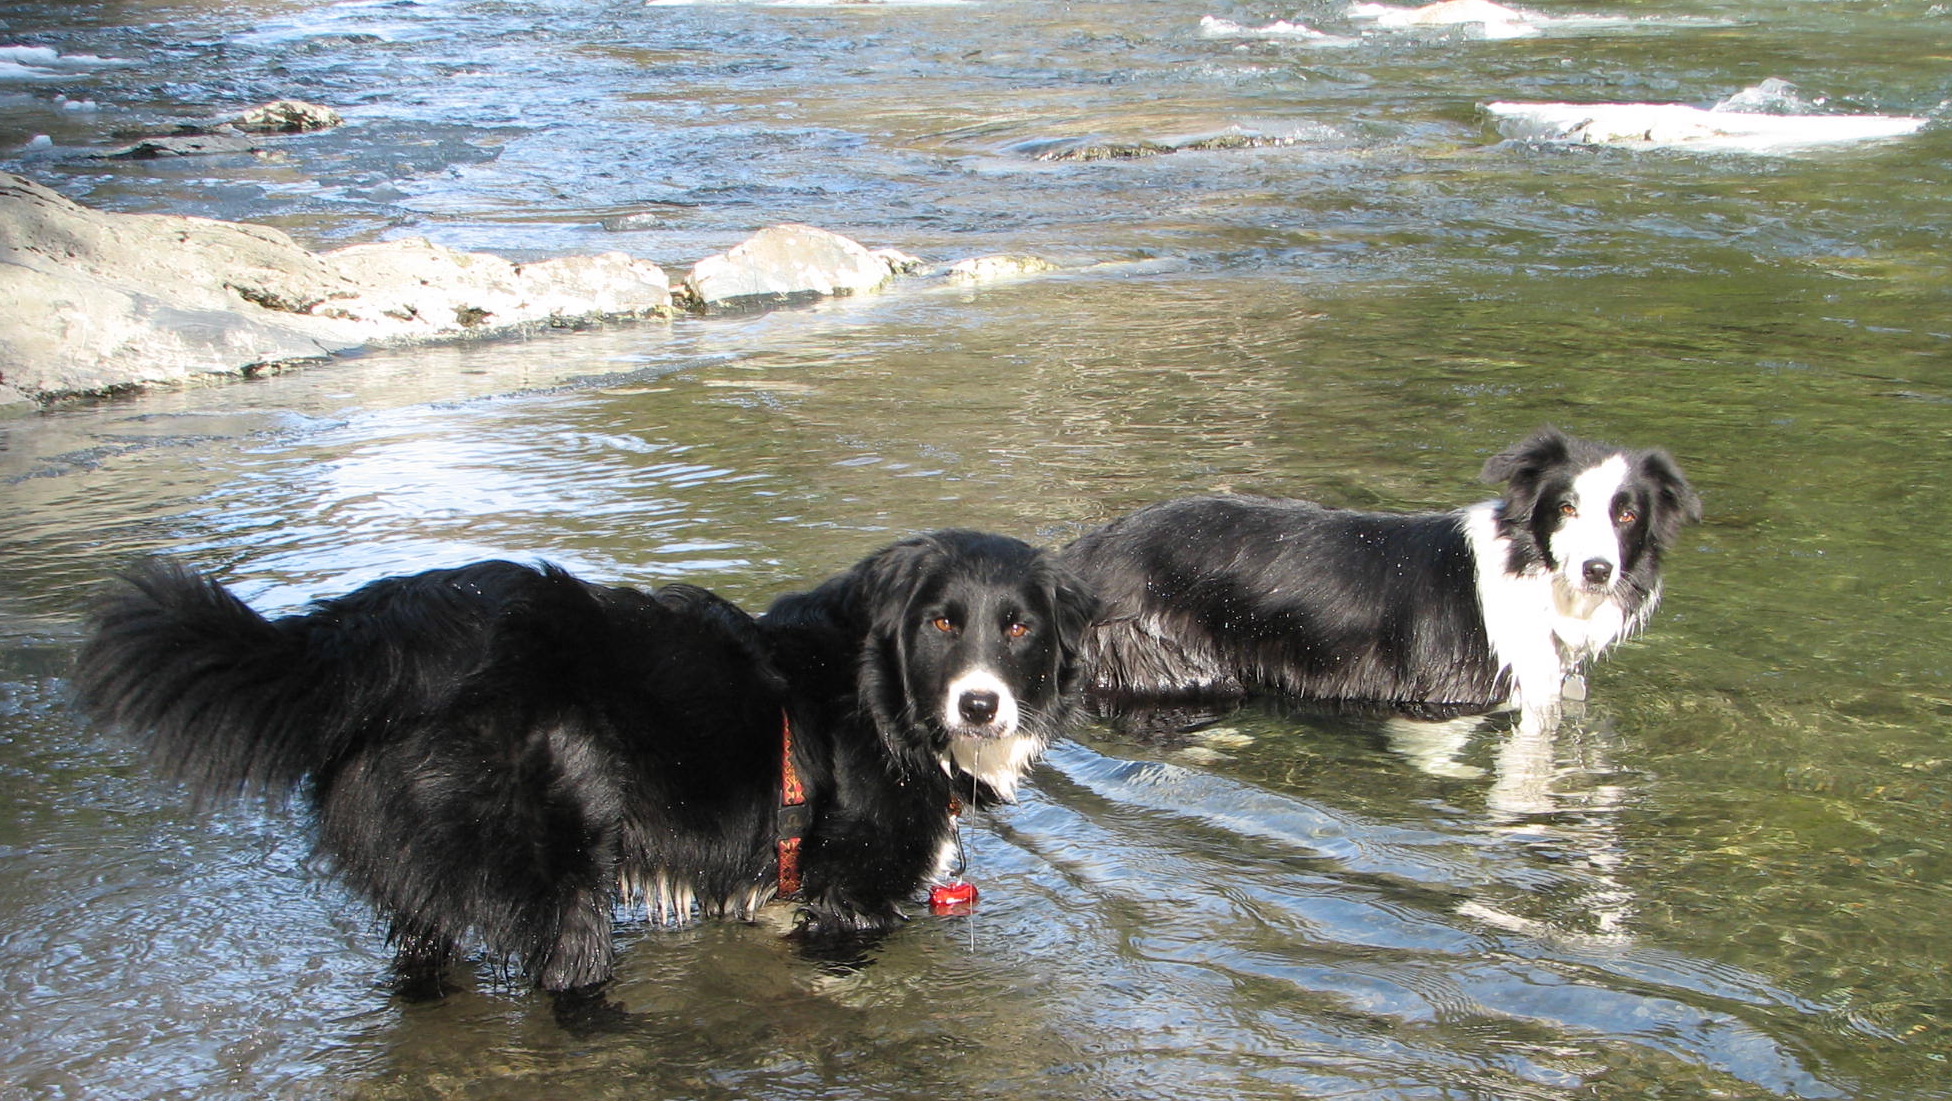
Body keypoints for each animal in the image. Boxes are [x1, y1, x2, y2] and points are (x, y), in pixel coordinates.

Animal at [72, 527, 1100, 999]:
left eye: (1018, 627)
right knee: (570, 979)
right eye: (942, 624)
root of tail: (385, 626)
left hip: (421, 875)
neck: (878, 693)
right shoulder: (847, 896)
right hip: (561, 862)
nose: (980, 703)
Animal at [1061, 427, 1702, 722]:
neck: (1534, 579)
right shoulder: (1440, 703)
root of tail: (1087, 551)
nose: (1598, 570)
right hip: (1167, 659)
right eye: (1565, 508)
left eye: (1626, 515)